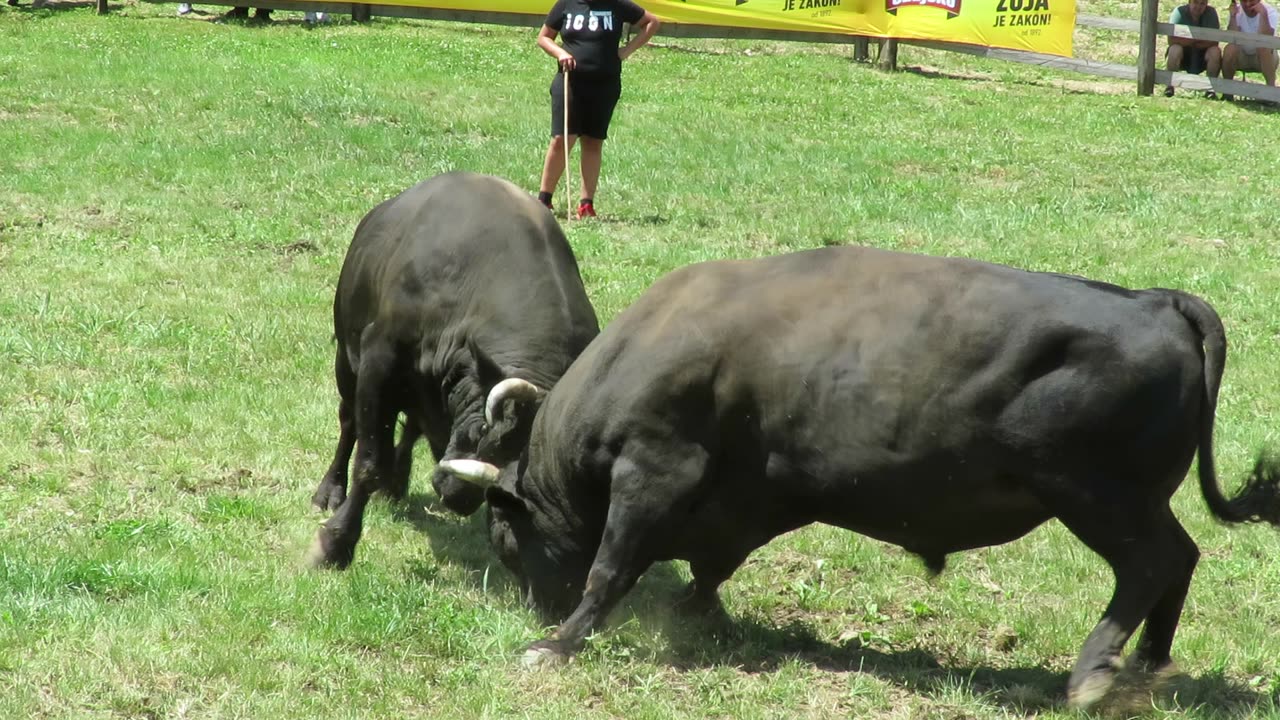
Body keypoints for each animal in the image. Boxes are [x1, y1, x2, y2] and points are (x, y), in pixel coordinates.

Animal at [307, 170, 596, 568]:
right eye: (485, 431)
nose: (457, 497)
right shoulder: (378, 360)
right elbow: (367, 461)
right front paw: (334, 543)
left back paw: (395, 481)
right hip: (346, 362)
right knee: (350, 423)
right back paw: (331, 490)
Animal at [442, 242, 1280, 707]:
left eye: (503, 527)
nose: (529, 602)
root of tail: (1158, 302)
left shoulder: (653, 468)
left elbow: (611, 566)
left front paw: (558, 643)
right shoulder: (750, 496)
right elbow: (711, 565)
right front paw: (696, 612)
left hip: (1098, 498)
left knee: (1151, 563)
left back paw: (1094, 673)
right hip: (1131, 501)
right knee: (1181, 558)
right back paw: (1148, 664)